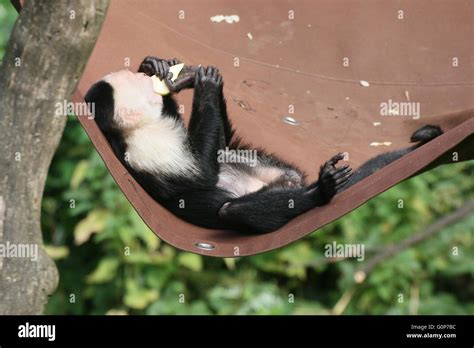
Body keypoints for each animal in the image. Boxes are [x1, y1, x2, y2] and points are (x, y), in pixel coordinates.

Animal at [83, 55, 442, 234]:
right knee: (232, 211)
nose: (145, 77)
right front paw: (205, 83)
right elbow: (202, 174)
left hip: (275, 173)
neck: (146, 126)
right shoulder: (143, 146)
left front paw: (164, 70)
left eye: (139, 78)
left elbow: (216, 149)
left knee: (233, 153)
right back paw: (320, 193)